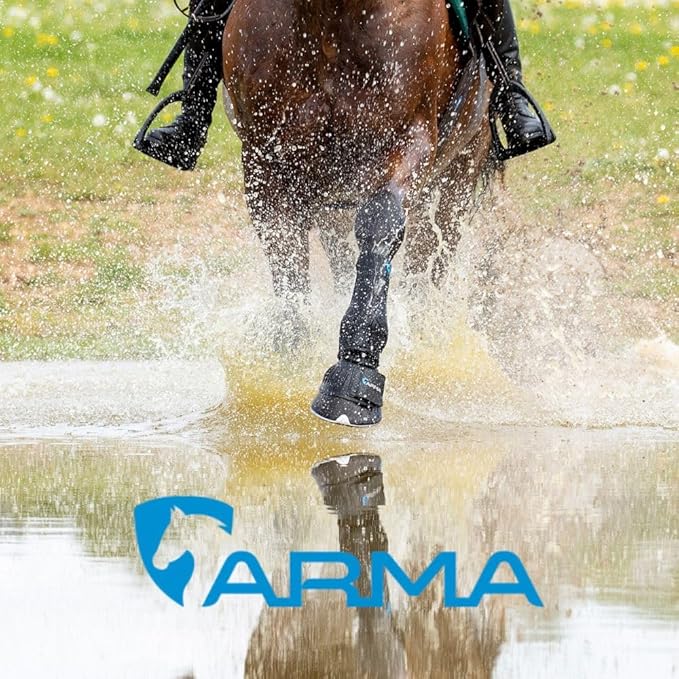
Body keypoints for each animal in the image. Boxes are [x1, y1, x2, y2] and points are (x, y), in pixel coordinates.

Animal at [221, 0, 493, 426]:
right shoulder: (266, 159)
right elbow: (286, 256)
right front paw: (288, 358)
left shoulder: (410, 139)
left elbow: (381, 225)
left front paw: (355, 374)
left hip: (462, 166)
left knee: (429, 260)